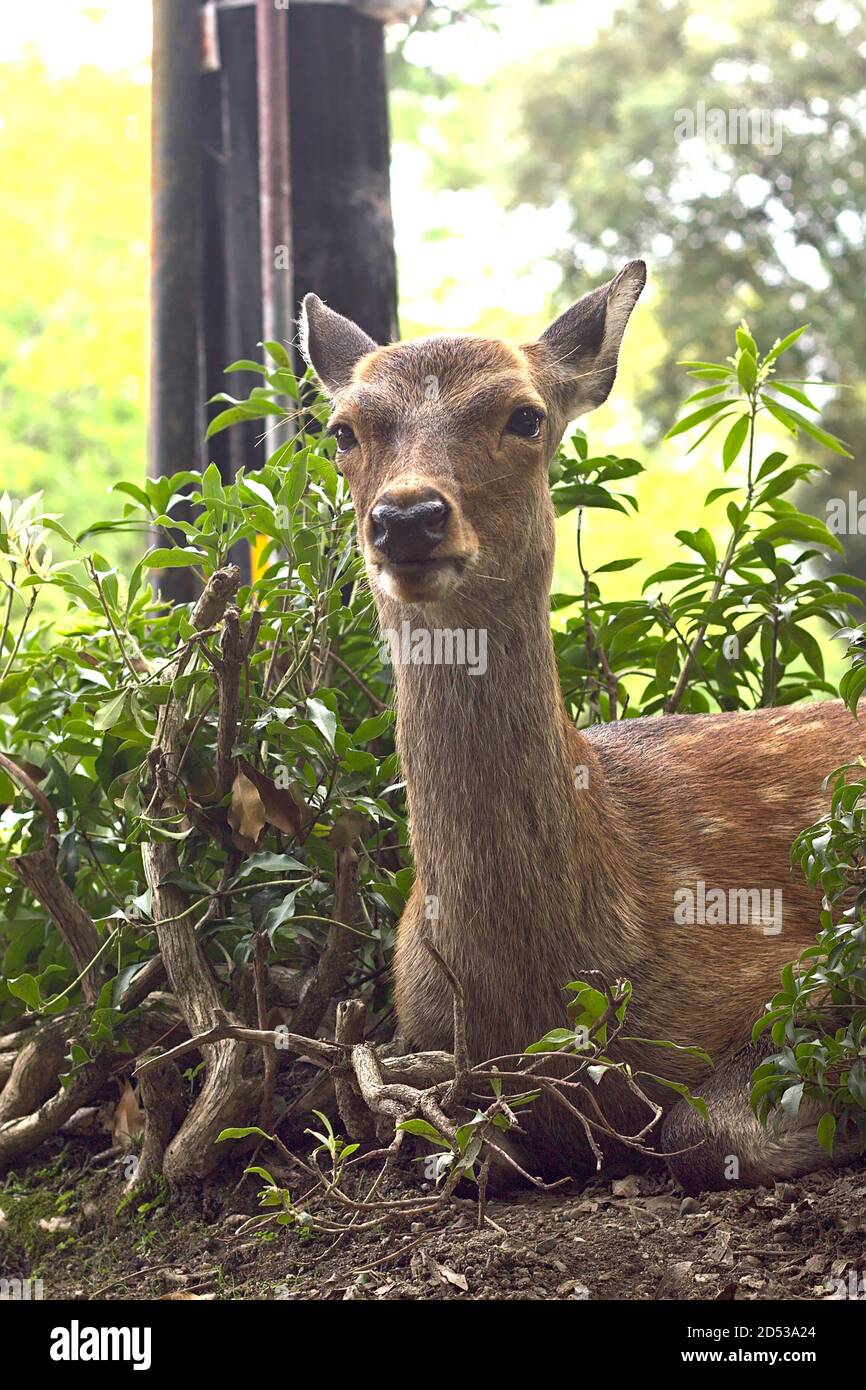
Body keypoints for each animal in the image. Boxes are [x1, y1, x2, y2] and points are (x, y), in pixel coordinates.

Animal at [300, 262, 866, 1195]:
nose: (408, 517)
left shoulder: (803, 964)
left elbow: (704, 1128)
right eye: (343, 430)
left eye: (525, 415)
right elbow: (462, 1151)